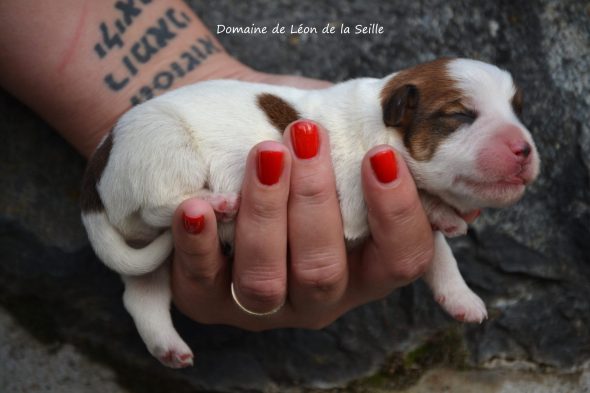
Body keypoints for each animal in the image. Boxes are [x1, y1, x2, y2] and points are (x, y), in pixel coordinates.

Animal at [80, 58, 540, 368]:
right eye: (461, 115)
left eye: (518, 110)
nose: (525, 149)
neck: (382, 123)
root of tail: (94, 180)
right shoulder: (356, 191)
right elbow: (416, 200)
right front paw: (441, 211)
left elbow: (438, 252)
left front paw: (462, 298)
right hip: (166, 146)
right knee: (161, 204)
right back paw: (217, 203)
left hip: (141, 248)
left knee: (142, 295)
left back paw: (168, 347)